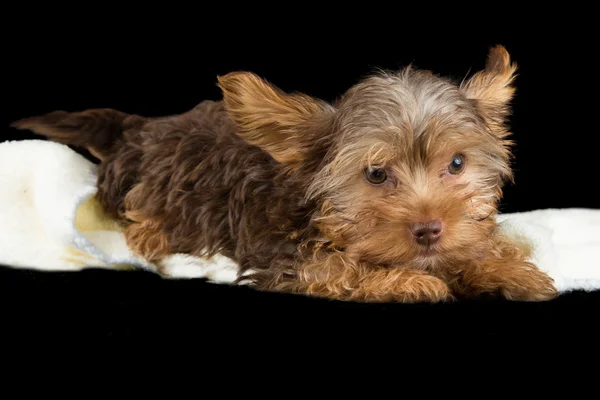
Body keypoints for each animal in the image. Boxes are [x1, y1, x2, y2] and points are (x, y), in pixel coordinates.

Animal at [10, 46, 556, 304]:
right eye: (376, 174)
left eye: (457, 164)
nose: (428, 230)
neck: (316, 209)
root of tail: (138, 129)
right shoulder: (286, 257)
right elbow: (337, 269)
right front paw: (408, 281)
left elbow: (476, 247)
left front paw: (503, 267)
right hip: (149, 197)